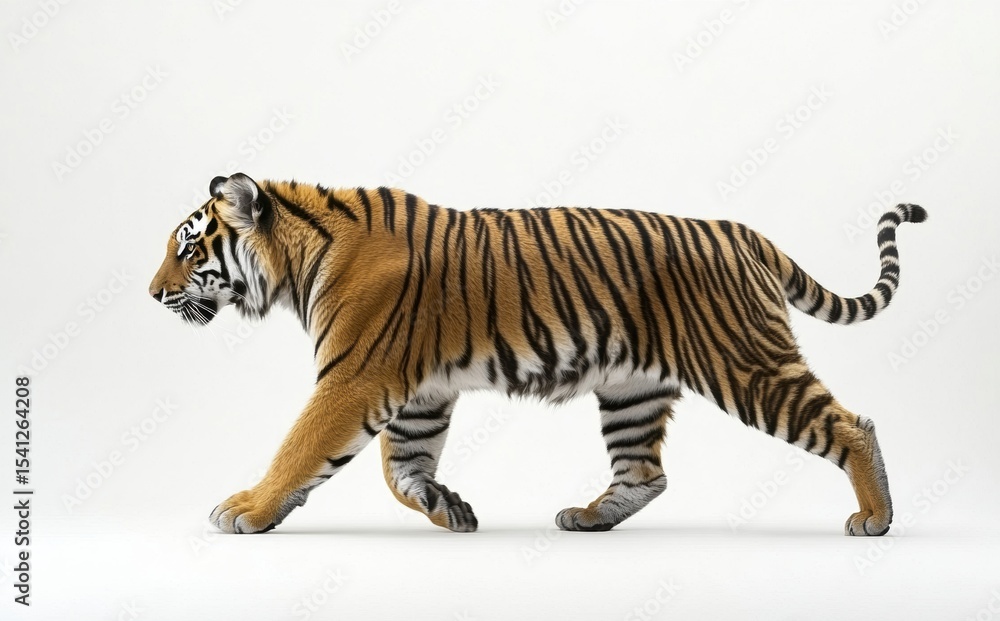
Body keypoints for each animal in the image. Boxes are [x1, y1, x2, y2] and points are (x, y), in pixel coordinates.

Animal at [150, 172, 926, 536]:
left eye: (187, 249)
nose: (154, 294)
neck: (297, 259)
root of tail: (743, 232)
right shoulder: (419, 395)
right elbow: (401, 471)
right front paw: (450, 508)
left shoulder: (353, 379)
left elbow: (300, 447)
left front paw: (246, 509)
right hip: (631, 390)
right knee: (645, 474)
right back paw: (588, 516)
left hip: (746, 364)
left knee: (852, 424)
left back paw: (876, 518)